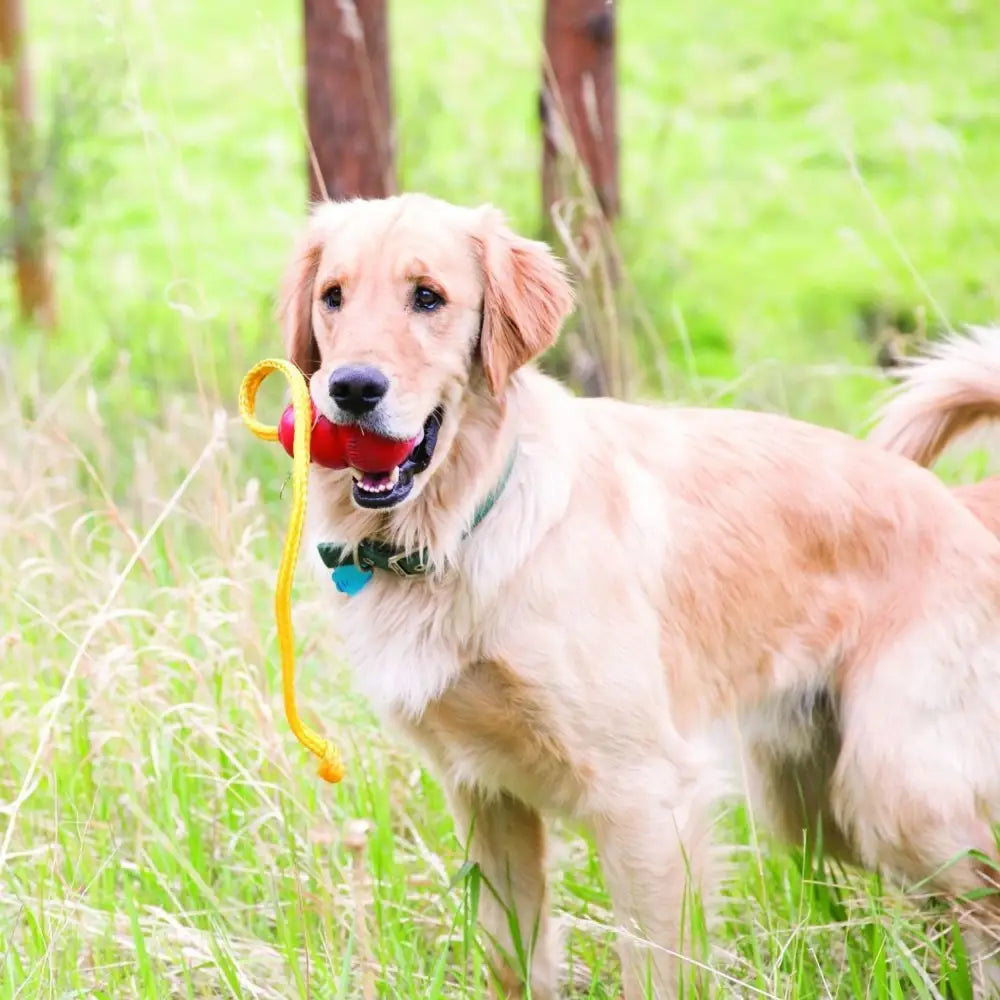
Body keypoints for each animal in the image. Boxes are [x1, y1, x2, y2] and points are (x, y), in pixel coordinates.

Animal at [276, 191, 1000, 996]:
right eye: (332, 297)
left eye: (427, 297)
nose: (351, 388)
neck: (459, 526)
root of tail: (960, 505)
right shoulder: (485, 796)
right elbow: (513, 960)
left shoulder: (645, 795)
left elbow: (654, 966)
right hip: (811, 805)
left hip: (900, 794)